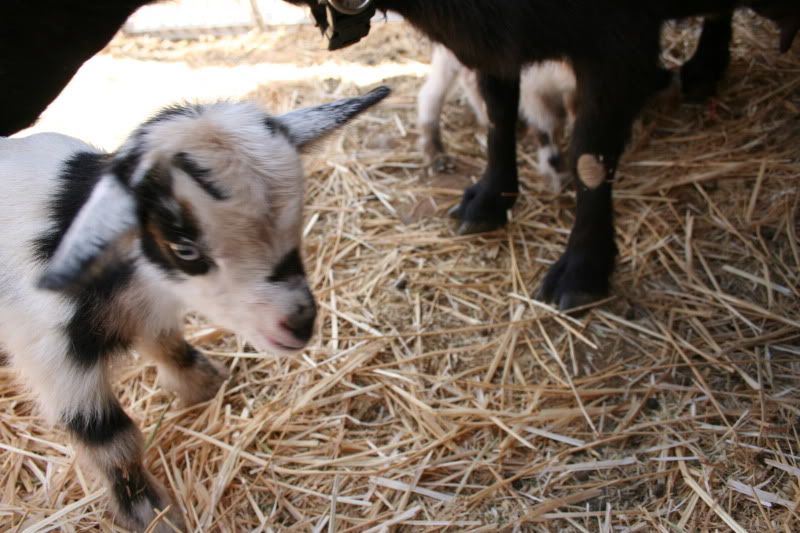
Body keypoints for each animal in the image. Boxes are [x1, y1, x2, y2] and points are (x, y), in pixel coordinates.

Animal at [0, 86, 389, 531]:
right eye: (185, 249)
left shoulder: (151, 314)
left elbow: (169, 344)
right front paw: (152, 514)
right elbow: (112, 441)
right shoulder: (55, 358)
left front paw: (206, 383)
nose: (299, 324)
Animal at [418, 43, 575, 193]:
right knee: (440, 88)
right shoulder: (531, 87)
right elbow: (546, 128)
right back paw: (438, 156)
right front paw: (558, 176)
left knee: (433, 89)